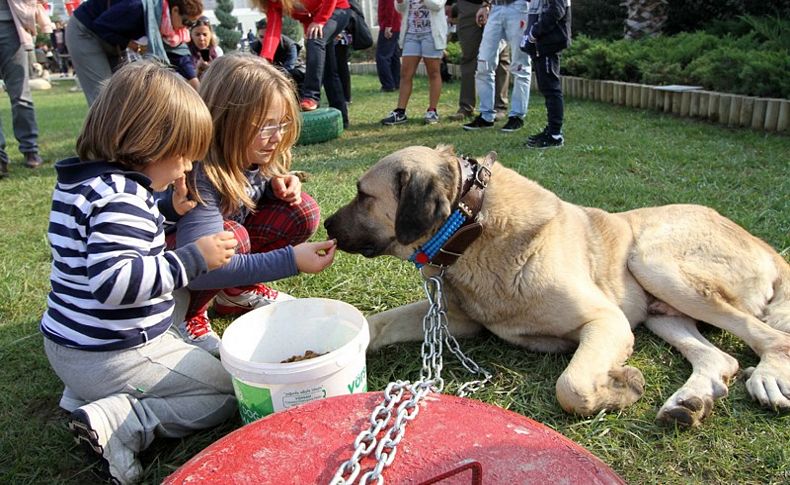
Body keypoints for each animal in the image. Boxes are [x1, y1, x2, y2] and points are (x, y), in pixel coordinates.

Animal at [324, 145, 790, 428]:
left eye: (363, 195)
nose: (325, 224)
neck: (472, 227)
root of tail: (767, 247)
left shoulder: (607, 322)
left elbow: (572, 386)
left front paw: (621, 387)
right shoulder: (455, 320)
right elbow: (377, 325)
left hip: (652, 260)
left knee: (770, 337)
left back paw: (767, 377)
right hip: (663, 311)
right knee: (719, 359)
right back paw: (689, 403)